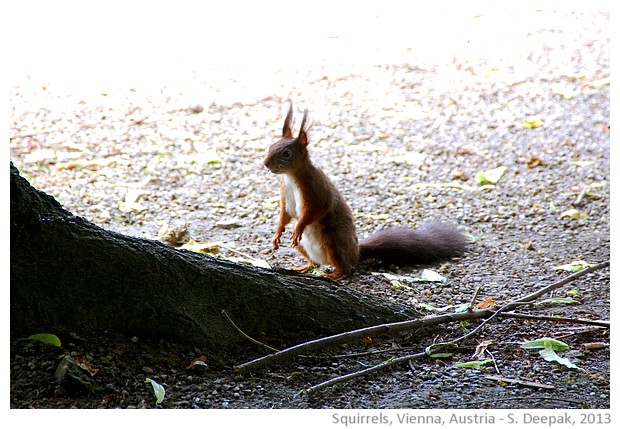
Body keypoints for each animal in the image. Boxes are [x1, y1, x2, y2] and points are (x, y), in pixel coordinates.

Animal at [262, 103, 470, 278]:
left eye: (287, 153)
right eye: (271, 146)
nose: (265, 163)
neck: (290, 176)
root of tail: (356, 252)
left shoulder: (315, 188)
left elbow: (316, 210)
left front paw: (298, 227)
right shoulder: (285, 193)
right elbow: (286, 214)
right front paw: (277, 234)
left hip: (333, 240)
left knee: (346, 267)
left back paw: (335, 274)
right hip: (305, 247)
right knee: (314, 263)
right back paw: (303, 266)